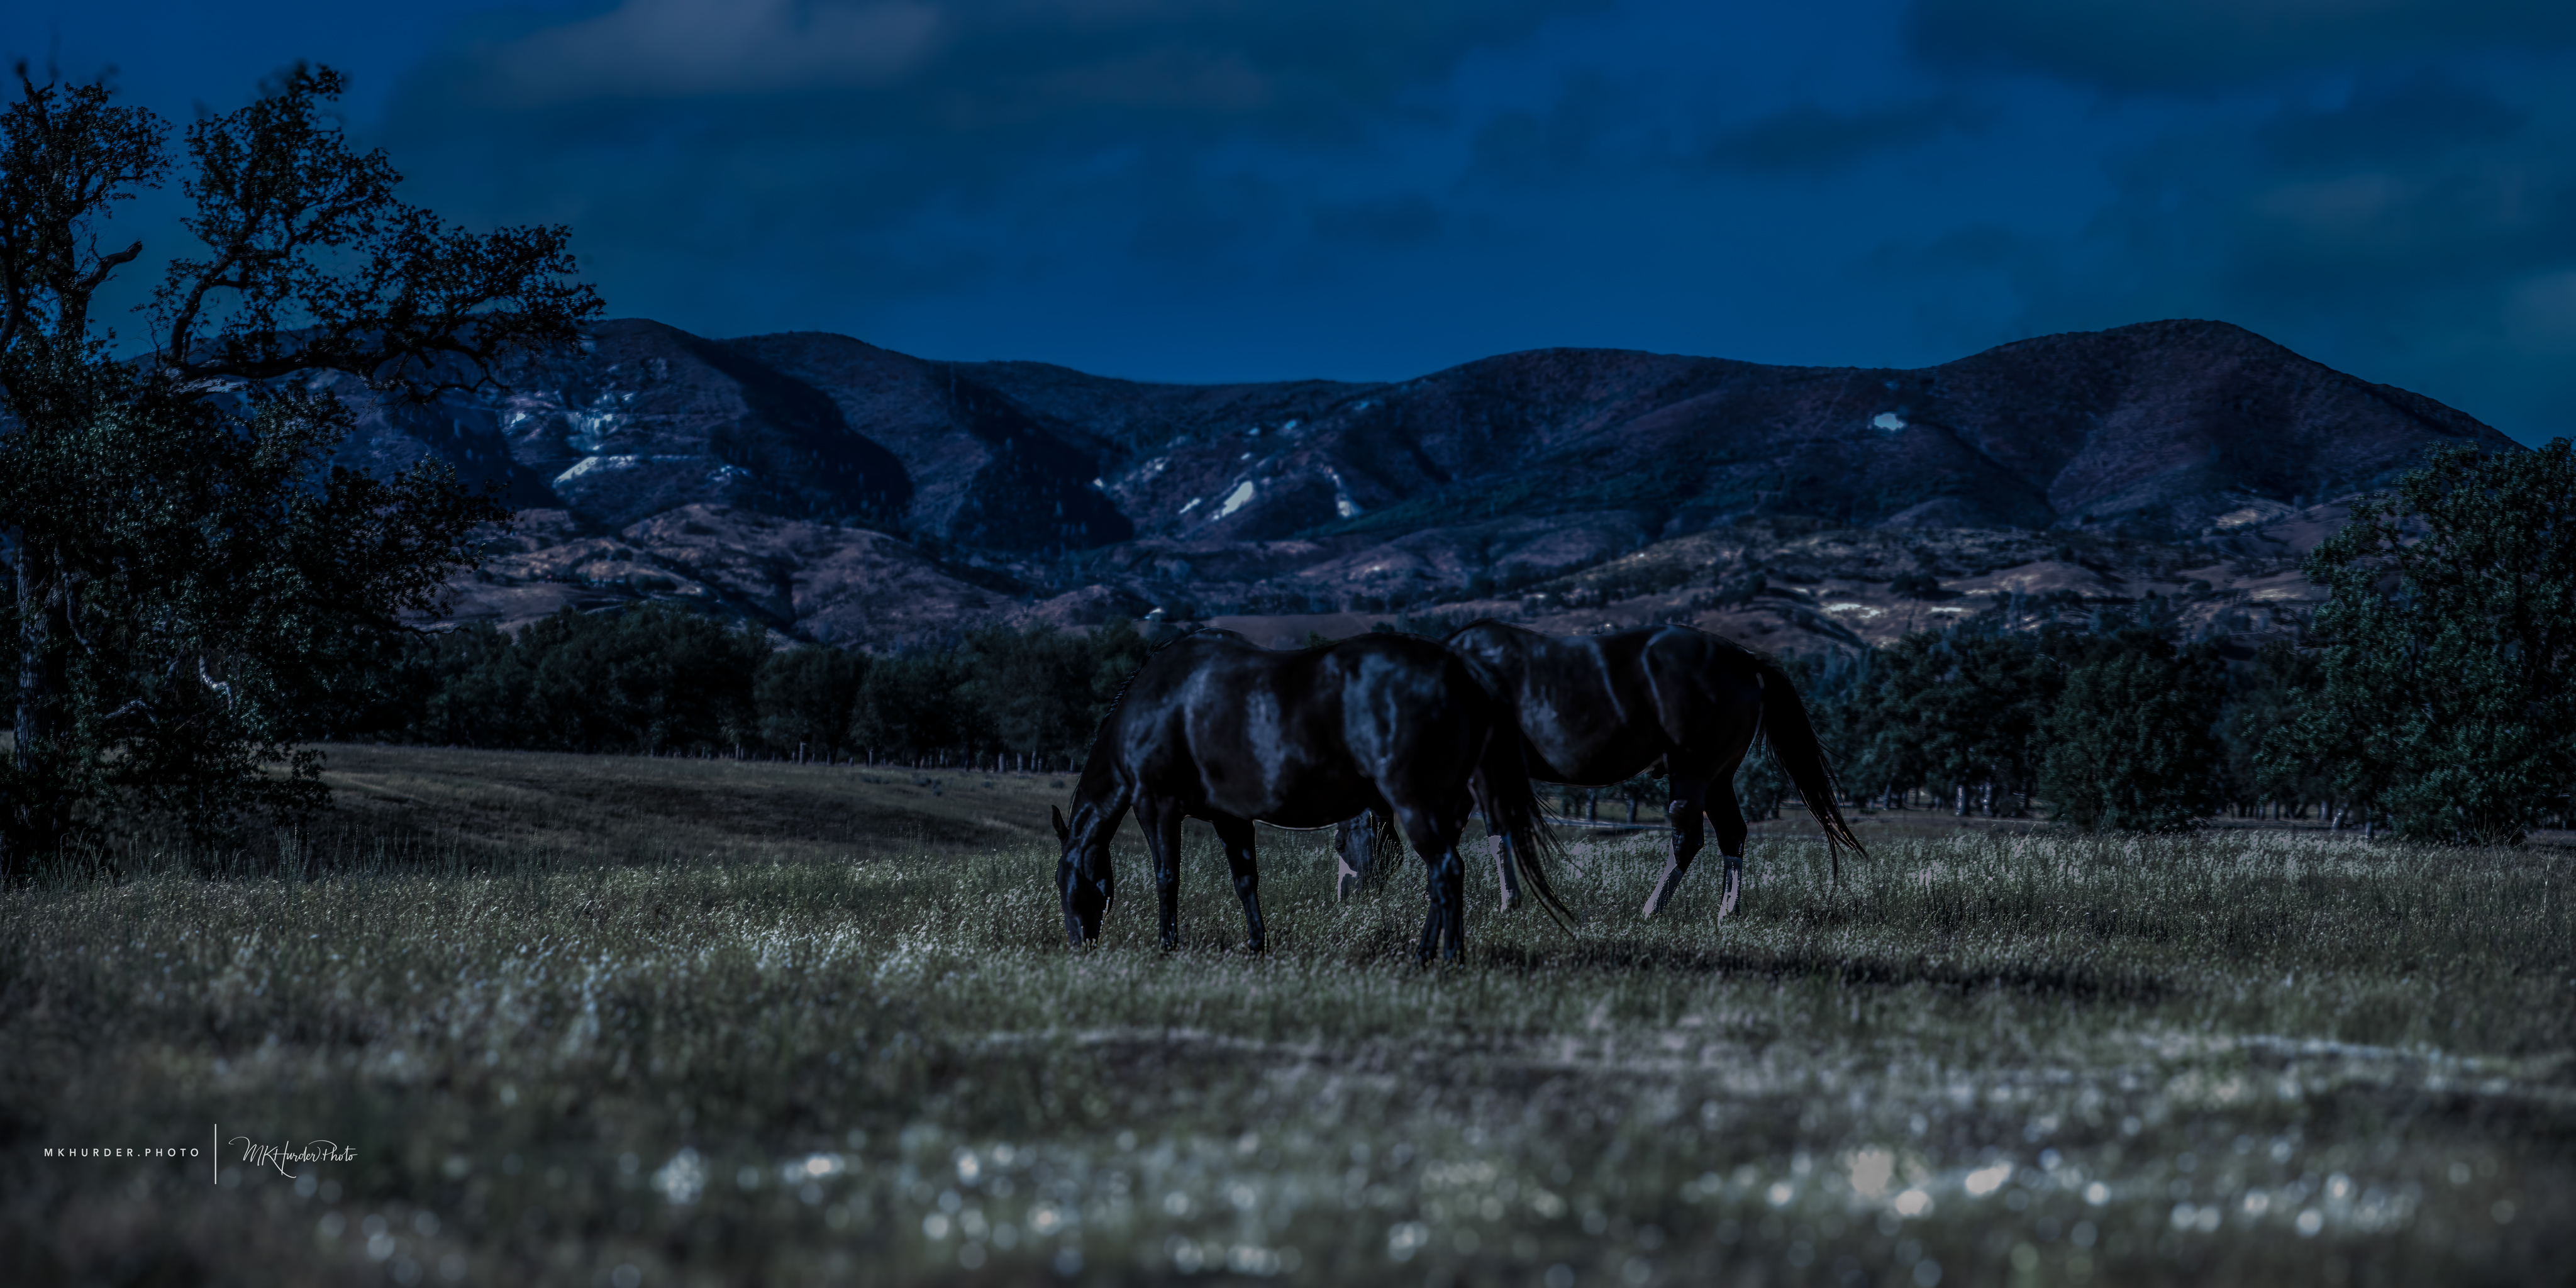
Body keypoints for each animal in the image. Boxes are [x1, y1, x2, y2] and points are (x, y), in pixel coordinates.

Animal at [1051, 629, 1571, 962]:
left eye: (1063, 880)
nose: (1078, 944)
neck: (1161, 701)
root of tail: (1465, 674)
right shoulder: (1230, 817)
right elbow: (1245, 880)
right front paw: (1257, 946)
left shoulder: (1156, 806)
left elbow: (1167, 877)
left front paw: (1167, 946)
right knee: (1442, 879)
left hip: (1418, 806)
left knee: (1446, 873)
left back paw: (1440, 959)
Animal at [1340, 621, 1864, 919]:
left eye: (1343, 841)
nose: (1346, 895)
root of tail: (1747, 661)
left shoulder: (1485, 773)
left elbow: (1497, 832)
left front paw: (1510, 903)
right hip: (1719, 778)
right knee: (1732, 834)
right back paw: (1726, 913)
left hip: (1693, 774)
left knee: (1688, 838)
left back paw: (1651, 911)